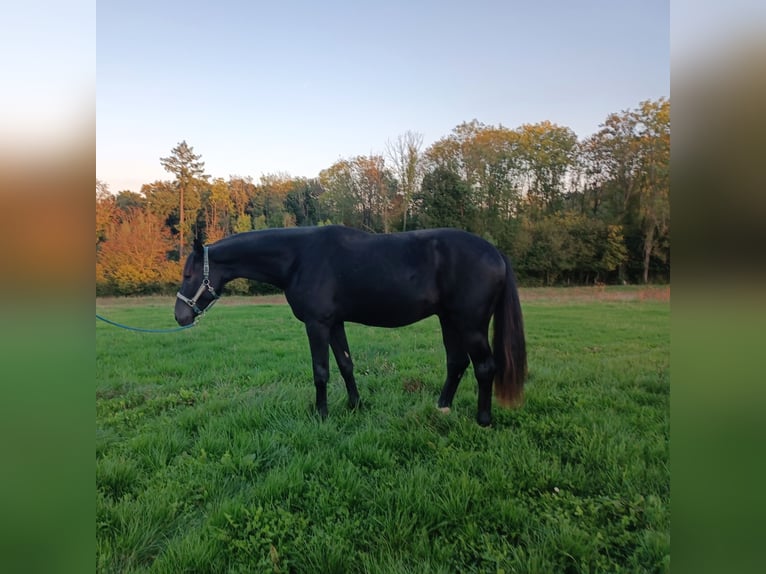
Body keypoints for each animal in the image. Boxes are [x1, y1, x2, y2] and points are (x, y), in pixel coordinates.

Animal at [174, 225, 527, 426]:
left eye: (189, 274)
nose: (180, 316)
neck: (299, 257)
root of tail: (495, 253)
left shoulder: (317, 324)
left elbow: (321, 371)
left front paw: (321, 414)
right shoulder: (334, 323)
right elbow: (345, 364)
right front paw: (355, 405)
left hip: (470, 325)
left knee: (484, 367)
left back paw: (483, 419)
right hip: (449, 320)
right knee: (456, 363)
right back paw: (442, 409)